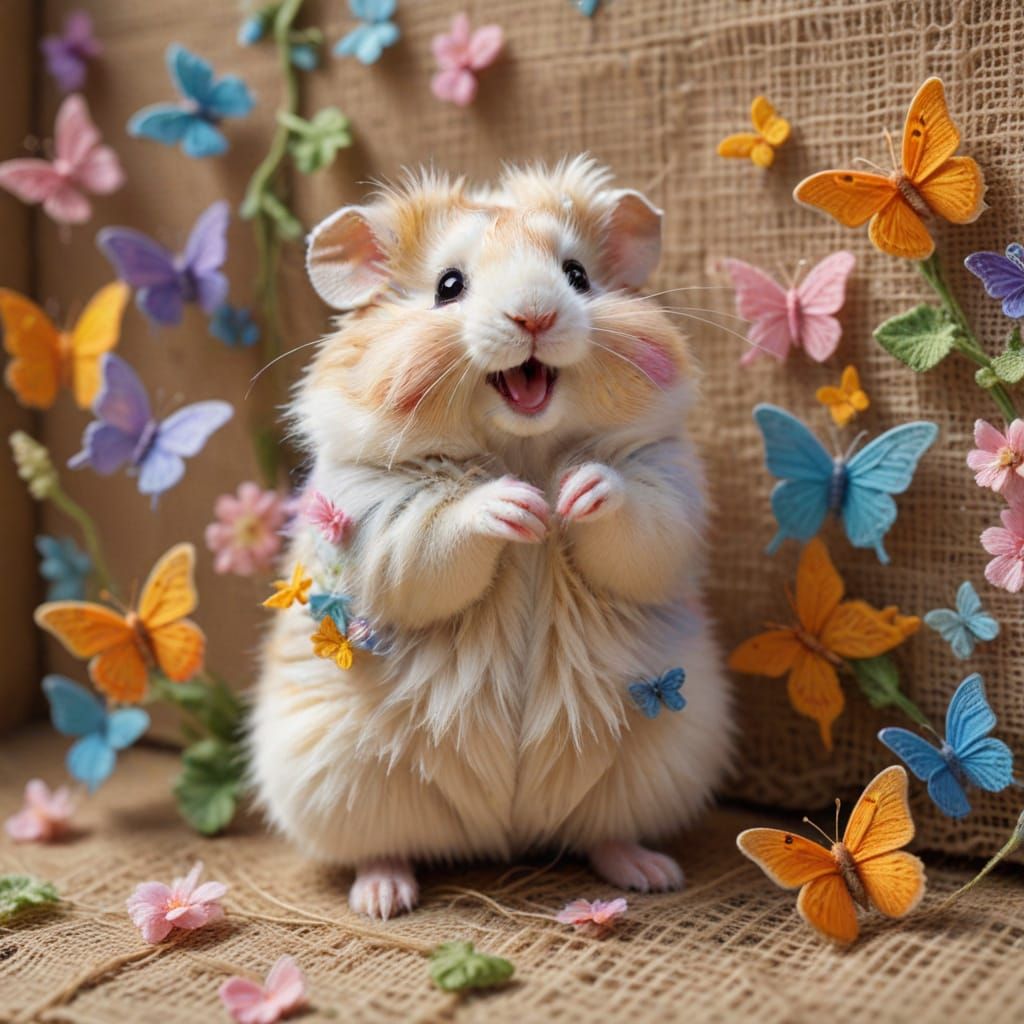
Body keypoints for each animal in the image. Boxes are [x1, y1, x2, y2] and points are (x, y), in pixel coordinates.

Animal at [250, 156, 734, 919]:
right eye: (449, 286)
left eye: (577, 275)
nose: (534, 315)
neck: (523, 445)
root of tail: (502, 834)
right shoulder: (379, 513)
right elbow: (438, 533)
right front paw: (520, 510)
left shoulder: (667, 481)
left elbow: (635, 519)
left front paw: (572, 498)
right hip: (343, 784)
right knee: (382, 849)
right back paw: (383, 897)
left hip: (657, 763)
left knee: (603, 835)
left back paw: (651, 872)